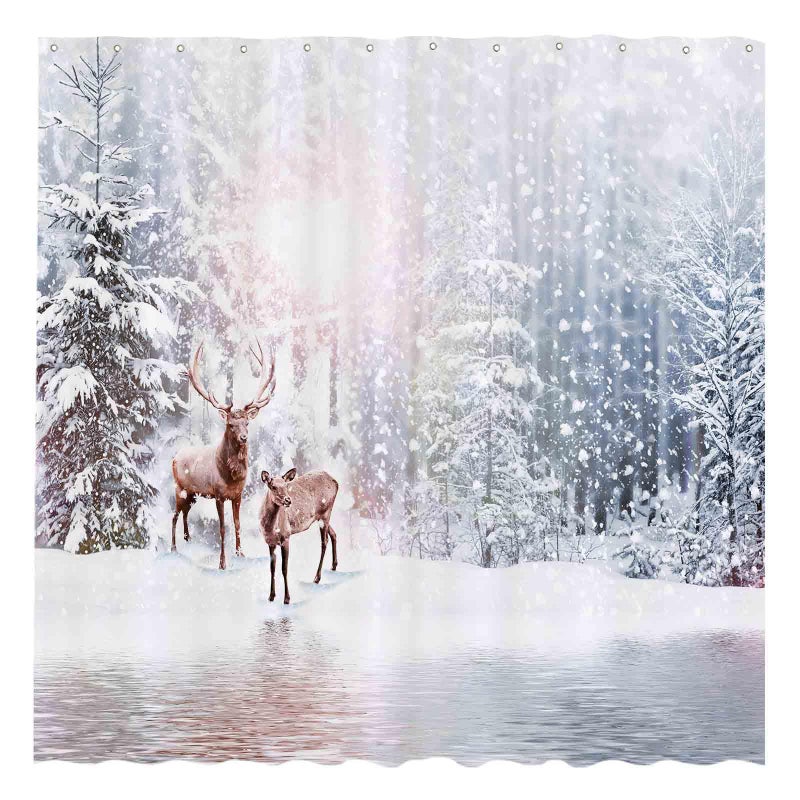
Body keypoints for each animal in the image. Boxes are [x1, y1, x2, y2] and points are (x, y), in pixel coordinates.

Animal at [171, 340, 276, 570]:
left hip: (192, 494)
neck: (231, 476)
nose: (244, 437)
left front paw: (241, 554)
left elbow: (237, 524)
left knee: (185, 513)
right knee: (174, 515)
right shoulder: (218, 494)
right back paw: (173, 548)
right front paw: (222, 563)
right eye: (230, 424)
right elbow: (222, 527)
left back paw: (187, 540)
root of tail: (174, 457)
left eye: (247, 423)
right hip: (179, 488)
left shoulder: (238, 495)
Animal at [259, 468, 339, 604]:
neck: (270, 528)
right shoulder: (270, 542)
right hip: (321, 517)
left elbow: (284, 568)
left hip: (326, 513)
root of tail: (335, 481)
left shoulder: (286, 537)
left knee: (324, 542)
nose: (288, 500)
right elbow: (272, 568)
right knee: (334, 534)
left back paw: (317, 577)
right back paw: (334, 566)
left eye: (286, 485)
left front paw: (287, 598)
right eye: (273, 486)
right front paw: (271, 596)